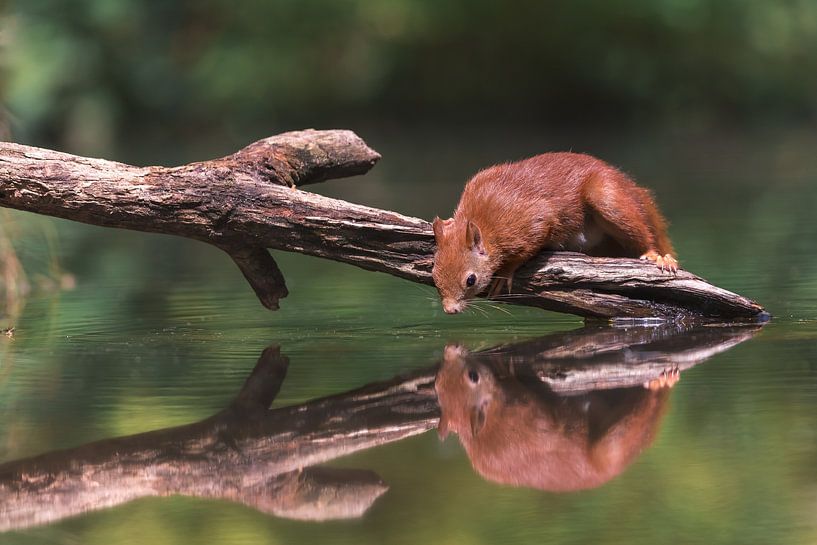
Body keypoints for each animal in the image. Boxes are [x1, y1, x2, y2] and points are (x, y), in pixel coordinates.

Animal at [432, 152, 677, 314]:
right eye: (434, 275)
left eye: (470, 280)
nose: (450, 310)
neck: (482, 220)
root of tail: (630, 187)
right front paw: (449, 222)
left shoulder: (530, 223)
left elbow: (530, 245)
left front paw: (504, 272)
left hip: (607, 198)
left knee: (642, 235)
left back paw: (657, 256)